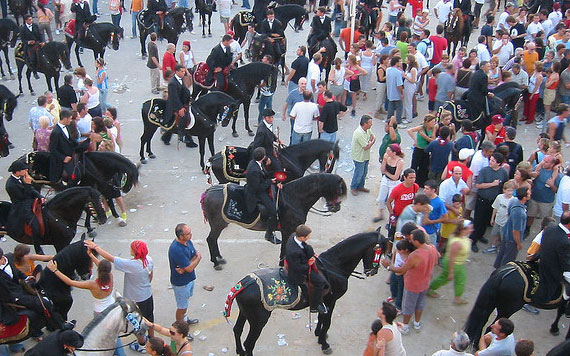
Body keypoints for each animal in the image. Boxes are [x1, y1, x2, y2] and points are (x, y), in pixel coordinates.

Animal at [200, 171, 344, 268]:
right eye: (337, 189)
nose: (336, 207)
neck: (293, 198)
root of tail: (209, 192)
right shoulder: (287, 230)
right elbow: (284, 248)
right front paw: (282, 264)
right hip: (217, 224)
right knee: (211, 239)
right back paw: (216, 262)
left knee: (214, 240)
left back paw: (219, 258)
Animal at [224, 232, 388, 354]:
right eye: (378, 251)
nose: (373, 271)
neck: (334, 266)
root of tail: (244, 283)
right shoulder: (331, 300)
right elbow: (327, 321)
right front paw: (324, 343)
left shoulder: (323, 301)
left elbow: (322, 318)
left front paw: (319, 334)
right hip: (258, 321)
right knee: (249, 343)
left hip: (245, 313)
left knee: (237, 330)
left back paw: (239, 351)